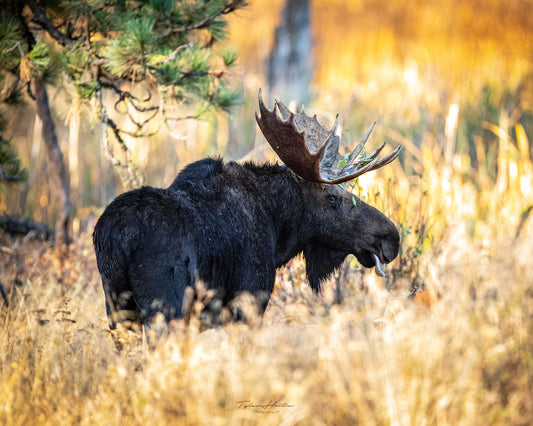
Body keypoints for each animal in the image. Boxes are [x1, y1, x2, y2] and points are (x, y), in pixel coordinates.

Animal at [92, 91, 400, 334]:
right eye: (333, 198)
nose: (391, 238)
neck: (278, 232)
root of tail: (116, 237)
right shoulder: (249, 300)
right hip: (164, 310)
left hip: (117, 308)